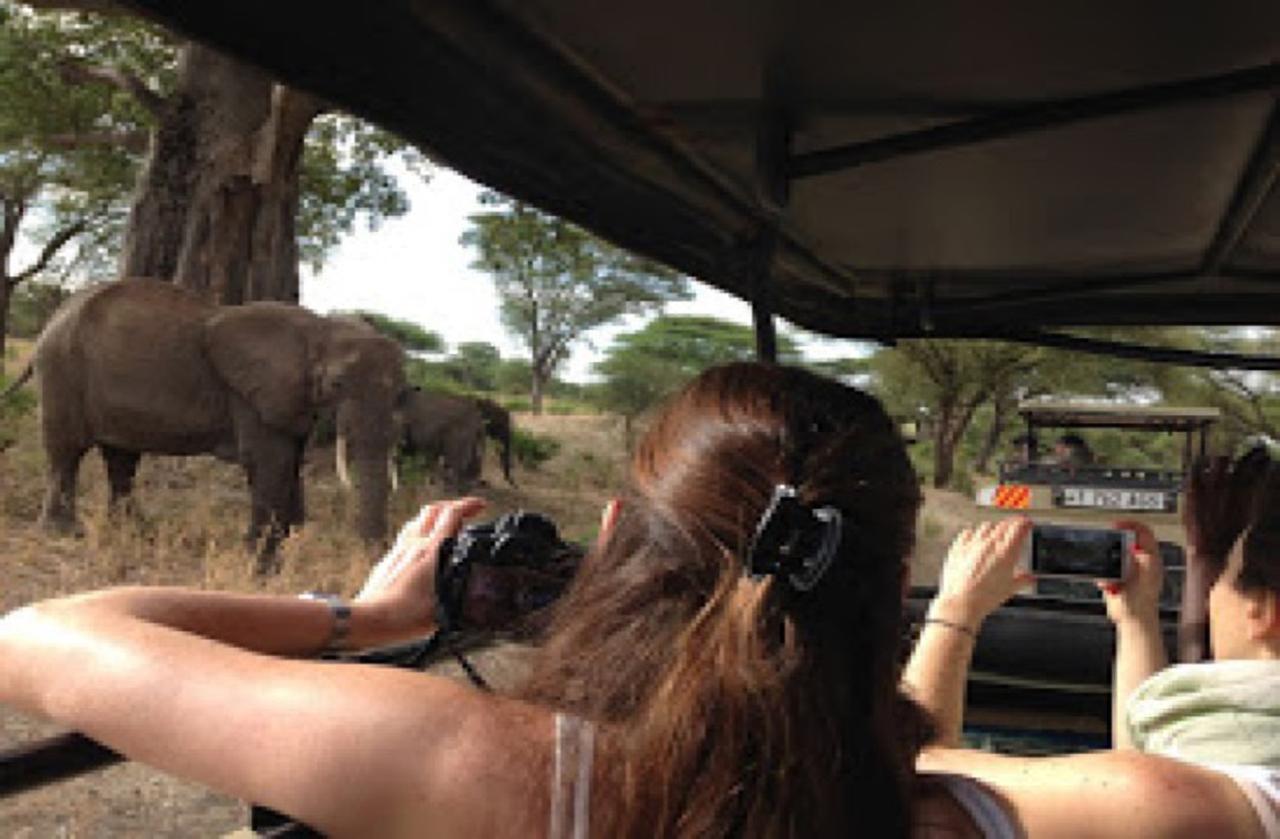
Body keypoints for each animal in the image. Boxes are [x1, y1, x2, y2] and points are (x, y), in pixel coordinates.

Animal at [13, 279, 404, 568]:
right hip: (62, 367)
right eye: (337, 384)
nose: (377, 556)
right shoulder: (251, 392)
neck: (320, 327)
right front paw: (261, 565)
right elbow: (271, 461)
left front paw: (288, 548)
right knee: (67, 450)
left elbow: (291, 461)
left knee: (122, 457)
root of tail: (56, 315)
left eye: (403, 391)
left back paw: (135, 531)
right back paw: (64, 533)